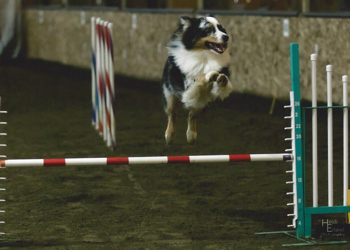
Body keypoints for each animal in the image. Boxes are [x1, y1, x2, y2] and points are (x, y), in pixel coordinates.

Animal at [163, 15, 234, 145]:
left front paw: (222, 79)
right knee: (172, 113)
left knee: (193, 114)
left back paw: (191, 136)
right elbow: (201, 77)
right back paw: (169, 136)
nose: (226, 37)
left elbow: (222, 84)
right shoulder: (187, 87)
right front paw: (209, 75)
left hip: (201, 102)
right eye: (208, 30)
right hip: (169, 94)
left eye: (221, 28)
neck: (205, 55)